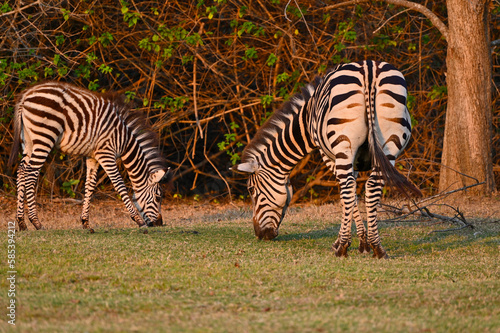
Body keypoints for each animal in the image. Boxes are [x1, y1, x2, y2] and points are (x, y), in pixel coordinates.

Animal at [7, 81, 170, 230]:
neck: (124, 141)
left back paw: (21, 223)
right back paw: (36, 222)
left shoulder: (93, 156)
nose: (160, 224)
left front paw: (85, 222)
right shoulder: (106, 153)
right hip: (45, 136)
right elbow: (119, 185)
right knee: (31, 173)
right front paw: (138, 220)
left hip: (28, 140)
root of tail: (25, 96)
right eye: (158, 197)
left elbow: (90, 186)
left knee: (21, 171)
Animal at [232, 59, 420, 258]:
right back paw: (377, 247)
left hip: (344, 143)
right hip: (390, 144)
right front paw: (363, 242)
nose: (260, 235)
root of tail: (369, 68)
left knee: (349, 187)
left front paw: (347, 242)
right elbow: (353, 195)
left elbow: (346, 195)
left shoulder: (329, 155)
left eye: (252, 190)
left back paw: (343, 248)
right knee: (372, 186)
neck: (306, 121)